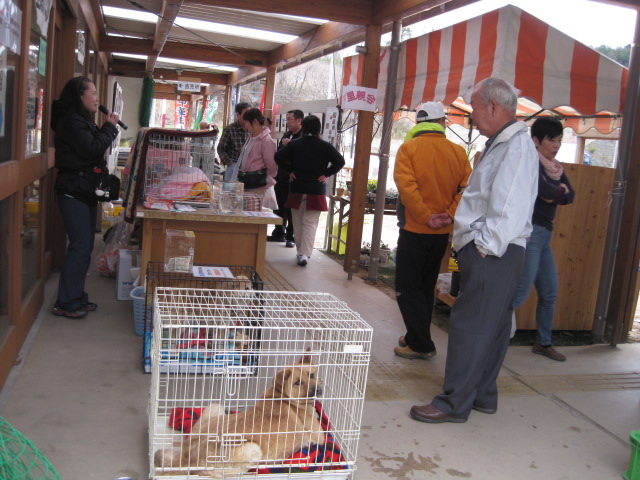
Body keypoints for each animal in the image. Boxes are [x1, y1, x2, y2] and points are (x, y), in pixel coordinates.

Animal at [154, 350, 324, 478]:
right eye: (298, 382)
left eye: (311, 375)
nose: (318, 390)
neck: (282, 395)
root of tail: (188, 457)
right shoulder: (319, 436)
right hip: (252, 448)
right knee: (215, 473)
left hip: (215, 407)